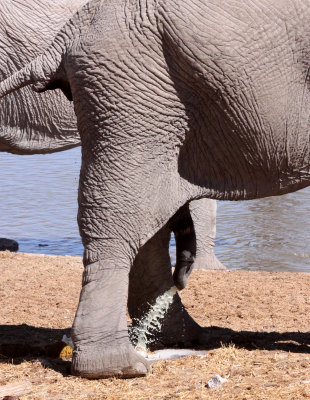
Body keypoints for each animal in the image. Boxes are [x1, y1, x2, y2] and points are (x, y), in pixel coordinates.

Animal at [1, 0, 308, 378]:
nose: (184, 277)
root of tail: (66, 37)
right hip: (134, 95)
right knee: (121, 211)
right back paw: (121, 366)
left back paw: (181, 339)